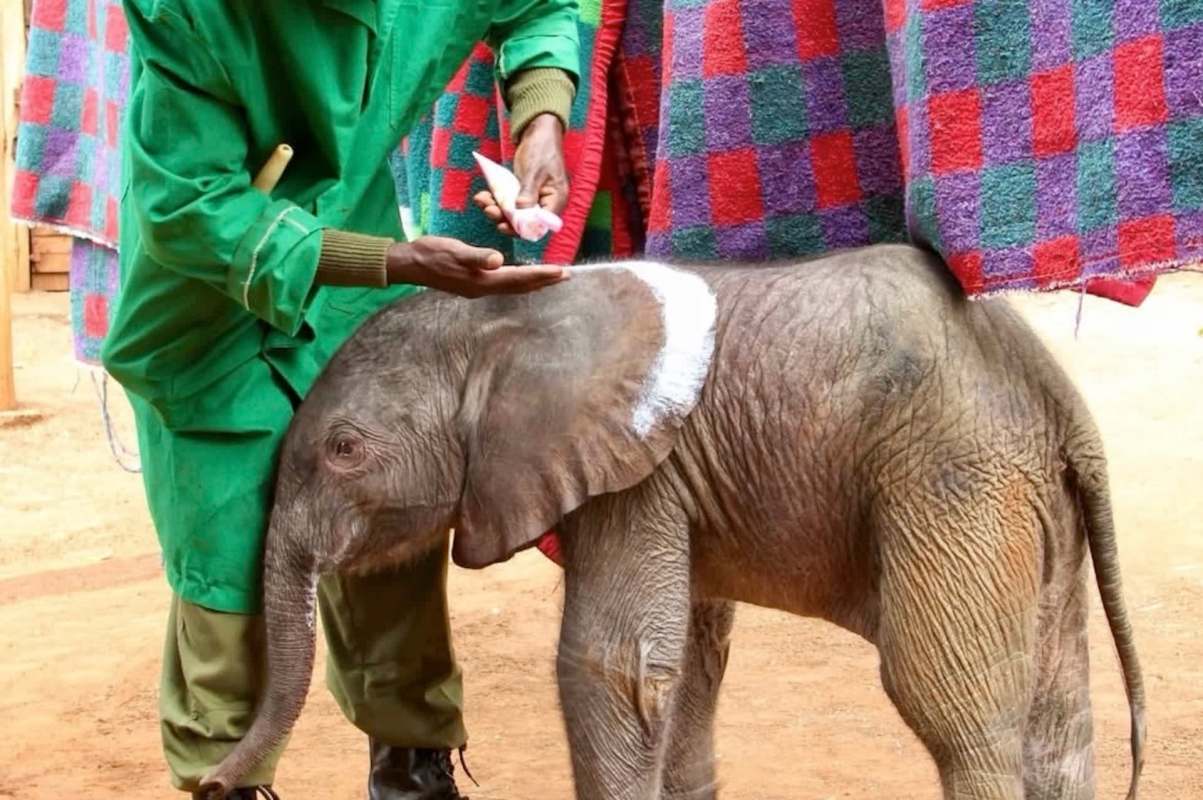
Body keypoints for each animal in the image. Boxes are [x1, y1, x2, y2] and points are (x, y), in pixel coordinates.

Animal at [201, 244, 1145, 800]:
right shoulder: (668, 478)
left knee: (954, 707)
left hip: (950, 478)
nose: (208, 784)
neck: (500, 318)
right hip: (1025, 496)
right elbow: (687, 658)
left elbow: (612, 666)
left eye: (344, 451)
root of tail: (1054, 390)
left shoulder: (635, 472)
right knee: (1060, 720)